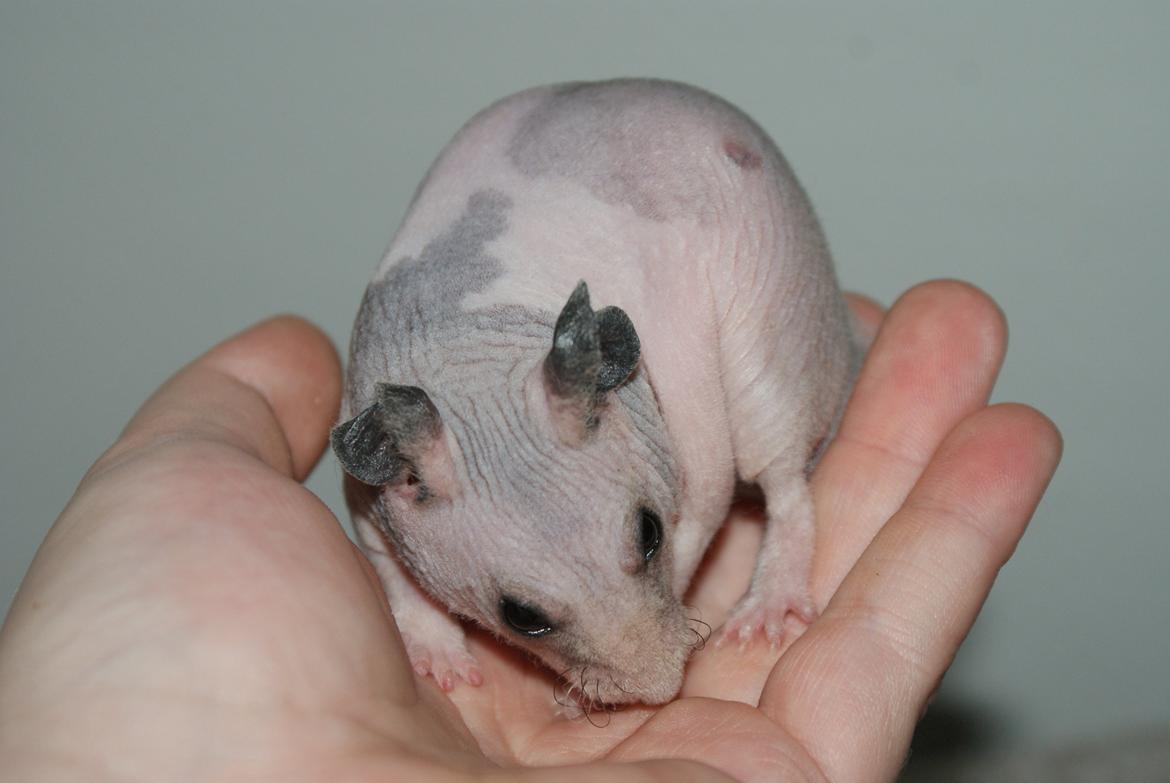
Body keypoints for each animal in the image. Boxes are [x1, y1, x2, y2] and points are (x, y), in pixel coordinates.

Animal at [332, 79, 857, 705]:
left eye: (649, 533)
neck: (469, 362)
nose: (661, 688)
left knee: (779, 466)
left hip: (780, 296)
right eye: (521, 616)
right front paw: (440, 654)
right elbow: (390, 566)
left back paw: (770, 599)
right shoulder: (371, 484)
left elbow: (703, 510)